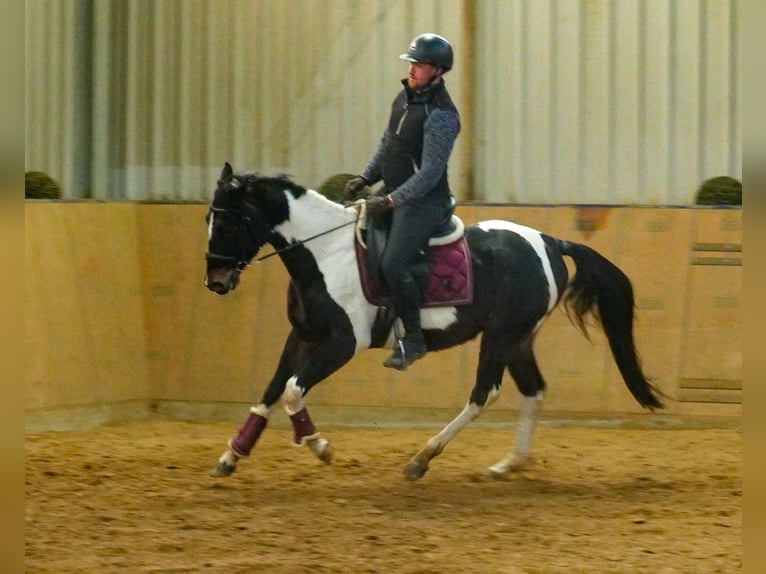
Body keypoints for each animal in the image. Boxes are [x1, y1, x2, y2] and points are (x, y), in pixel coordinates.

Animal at [204, 163, 664, 482]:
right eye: (208, 219)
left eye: (225, 221)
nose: (215, 281)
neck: (326, 252)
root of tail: (549, 241)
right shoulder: (301, 336)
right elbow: (271, 390)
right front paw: (231, 455)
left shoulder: (342, 343)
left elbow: (293, 391)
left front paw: (319, 446)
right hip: (518, 339)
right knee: (533, 391)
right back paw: (507, 465)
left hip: (501, 336)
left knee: (483, 394)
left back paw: (421, 460)